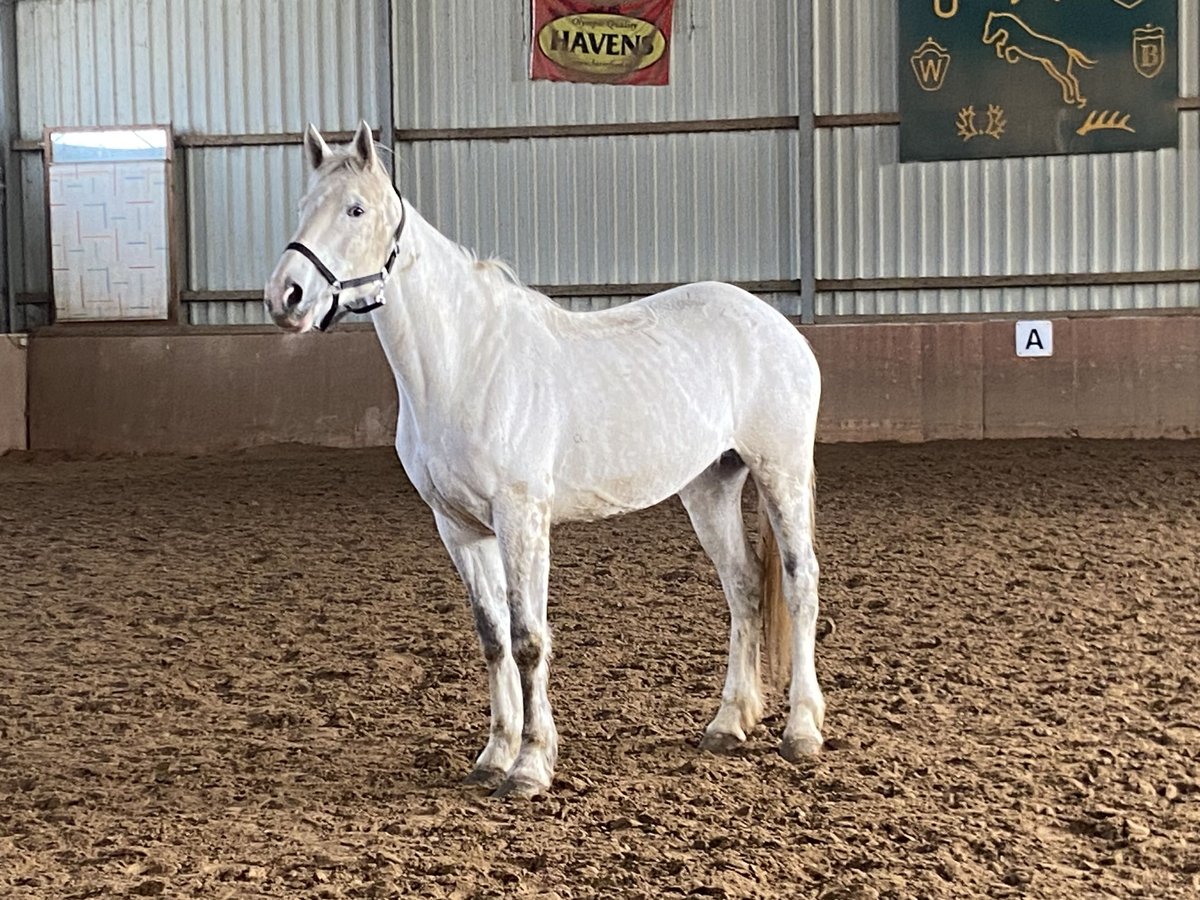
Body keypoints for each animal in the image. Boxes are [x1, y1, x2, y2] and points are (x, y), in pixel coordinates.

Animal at [264, 121, 825, 801]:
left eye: (355, 209)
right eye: (303, 206)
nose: (286, 295)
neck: (466, 361)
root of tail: (777, 327)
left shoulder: (521, 518)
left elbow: (529, 638)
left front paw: (531, 765)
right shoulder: (459, 528)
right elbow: (492, 637)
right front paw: (494, 757)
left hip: (780, 472)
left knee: (799, 583)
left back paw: (802, 731)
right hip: (710, 486)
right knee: (742, 587)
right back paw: (728, 723)